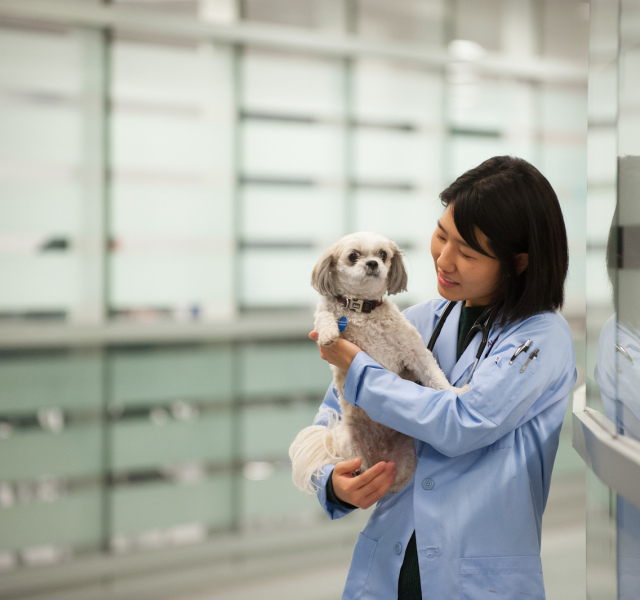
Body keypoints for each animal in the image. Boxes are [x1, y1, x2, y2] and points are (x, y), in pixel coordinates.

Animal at [288, 232, 460, 494]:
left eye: (383, 254)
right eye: (353, 256)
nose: (372, 264)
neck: (363, 310)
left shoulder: (413, 350)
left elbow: (434, 375)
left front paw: (455, 391)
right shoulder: (325, 312)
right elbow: (325, 315)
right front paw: (329, 334)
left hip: (405, 457)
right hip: (349, 443)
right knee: (359, 465)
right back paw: (360, 472)